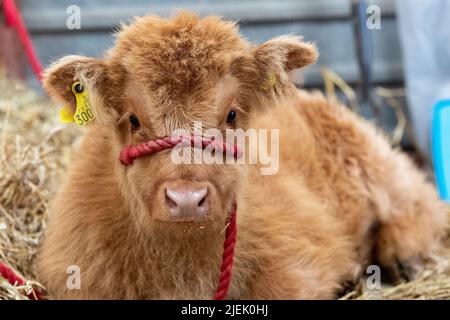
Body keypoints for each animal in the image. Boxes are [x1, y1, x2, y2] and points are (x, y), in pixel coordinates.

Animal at [37, 11, 448, 298]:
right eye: (134, 119)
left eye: (232, 114)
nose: (186, 199)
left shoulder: (299, 257)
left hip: (373, 158)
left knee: (422, 204)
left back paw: (403, 257)